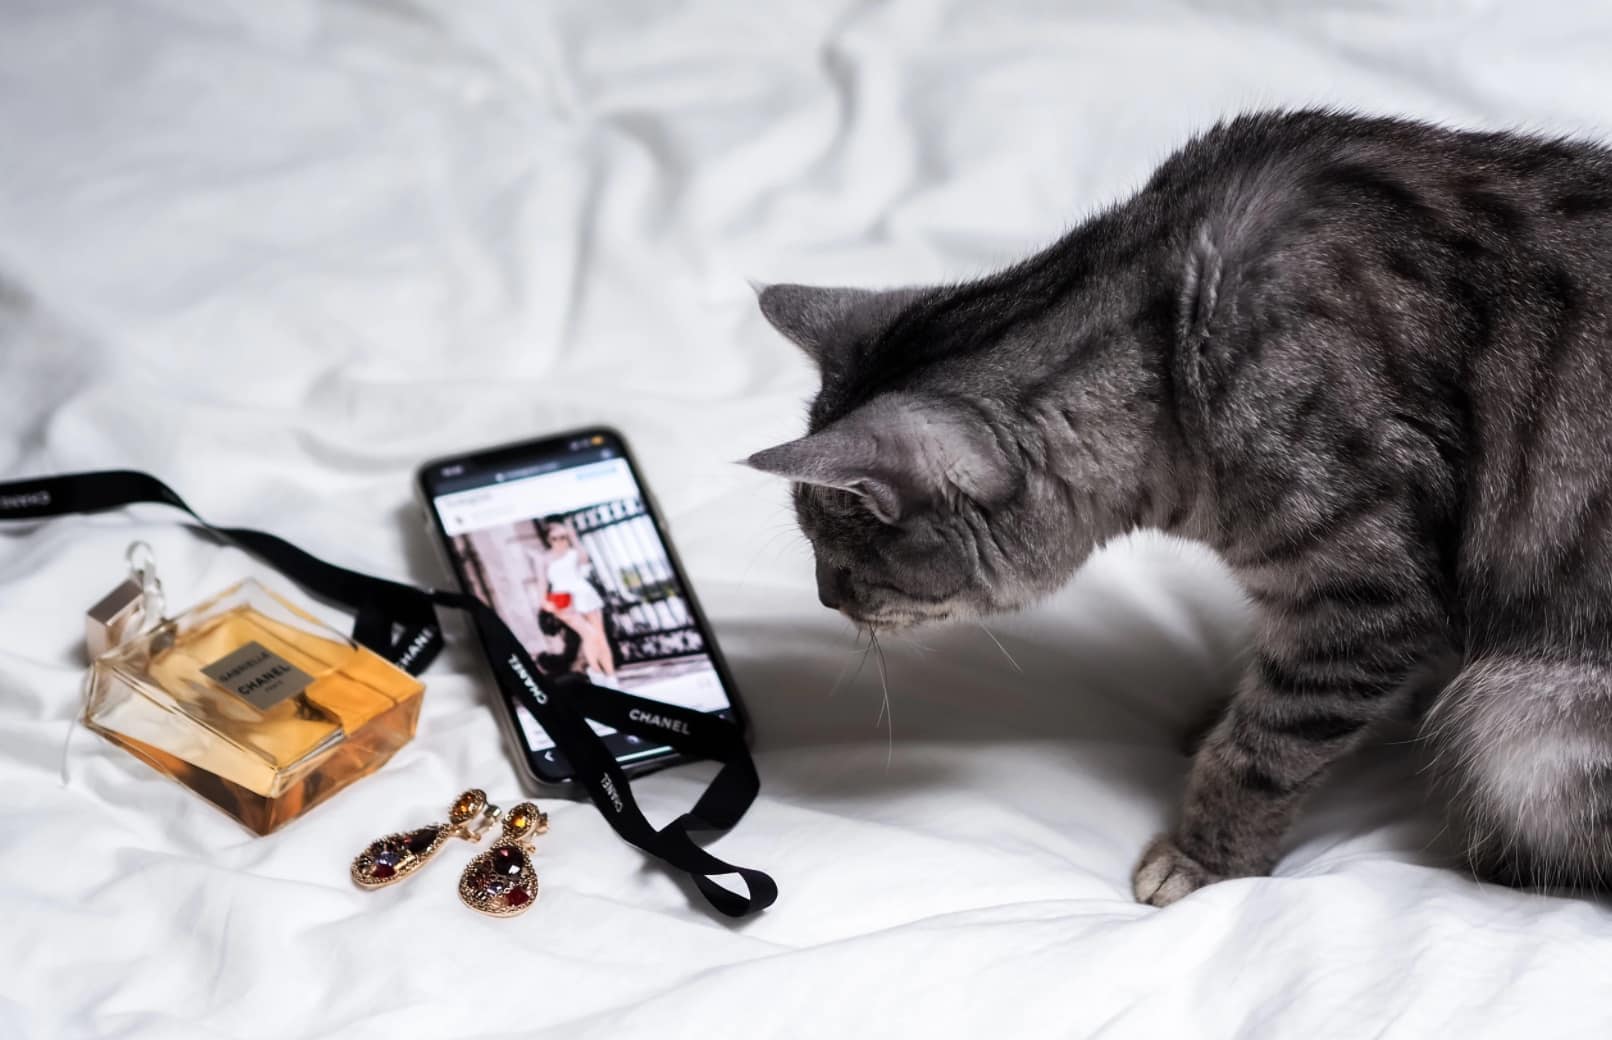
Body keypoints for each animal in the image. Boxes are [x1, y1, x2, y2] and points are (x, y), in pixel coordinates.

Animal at [745, 109, 1612, 906]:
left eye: (844, 563)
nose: (824, 597)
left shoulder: (1368, 594)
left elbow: (1265, 749)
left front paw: (1206, 856)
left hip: (1517, 722)